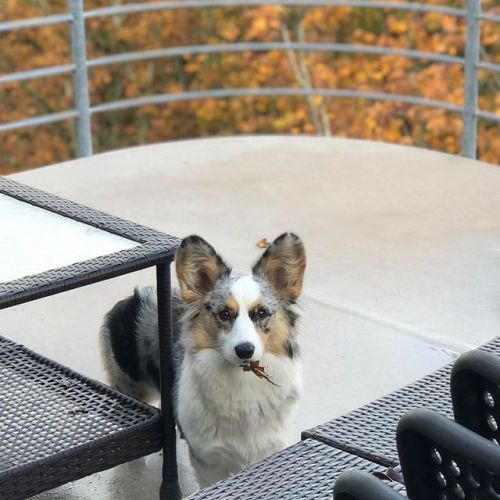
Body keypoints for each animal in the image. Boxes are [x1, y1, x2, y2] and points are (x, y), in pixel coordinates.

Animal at [99, 233, 304, 488]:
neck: (242, 383)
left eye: (261, 313)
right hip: (132, 386)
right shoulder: (209, 461)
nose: (244, 351)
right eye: (224, 314)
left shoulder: (267, 451)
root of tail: (129, 299)